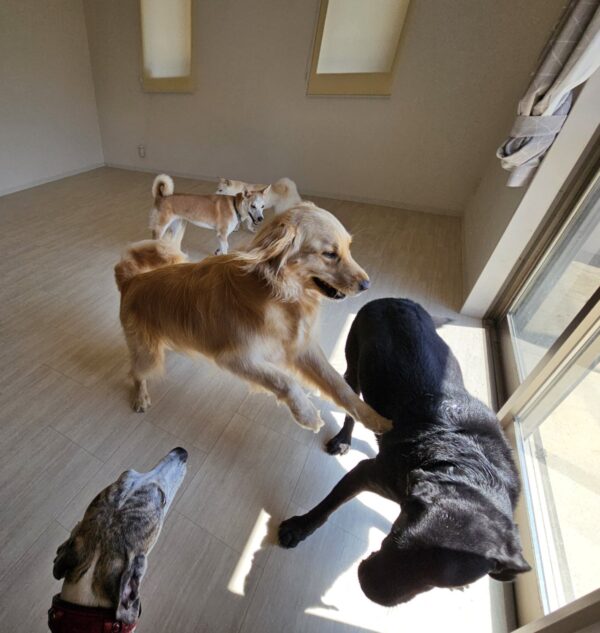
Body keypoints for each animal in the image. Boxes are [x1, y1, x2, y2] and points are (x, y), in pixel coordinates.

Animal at [115, 203, 392, 436]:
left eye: (348, 248)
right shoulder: (236, 358)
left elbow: (339, 385)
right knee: (135, 372)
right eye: (330, 254)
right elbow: (285, 380)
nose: (366, 285)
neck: (279, 293)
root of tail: (130, 280)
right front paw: (307, 414)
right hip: (148, 355)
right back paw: (140, 397)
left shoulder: (302, 348)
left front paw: (376, 420)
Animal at [278, 298, 530, 605]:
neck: (469, 470)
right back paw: (343, 439)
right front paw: (299, 527)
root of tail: (397, 300)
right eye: (396, 535)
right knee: (351, 404)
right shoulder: (367, 472)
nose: (368, 588)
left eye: (439, 584)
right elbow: (327, 507)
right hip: (354, 364)